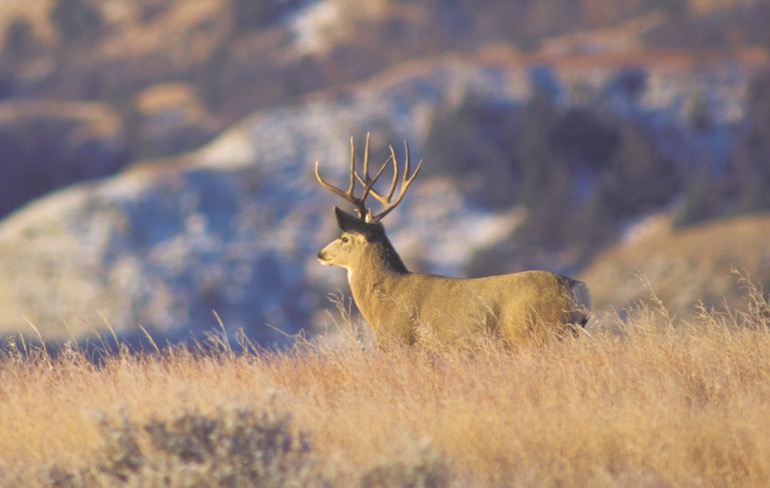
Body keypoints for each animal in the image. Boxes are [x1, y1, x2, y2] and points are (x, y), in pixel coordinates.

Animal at [316, 132, 592, 346]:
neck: (383, 298)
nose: (320, 254)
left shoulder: (402, 341)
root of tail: (575, 287)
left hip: (537, 332)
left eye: (344, 238)